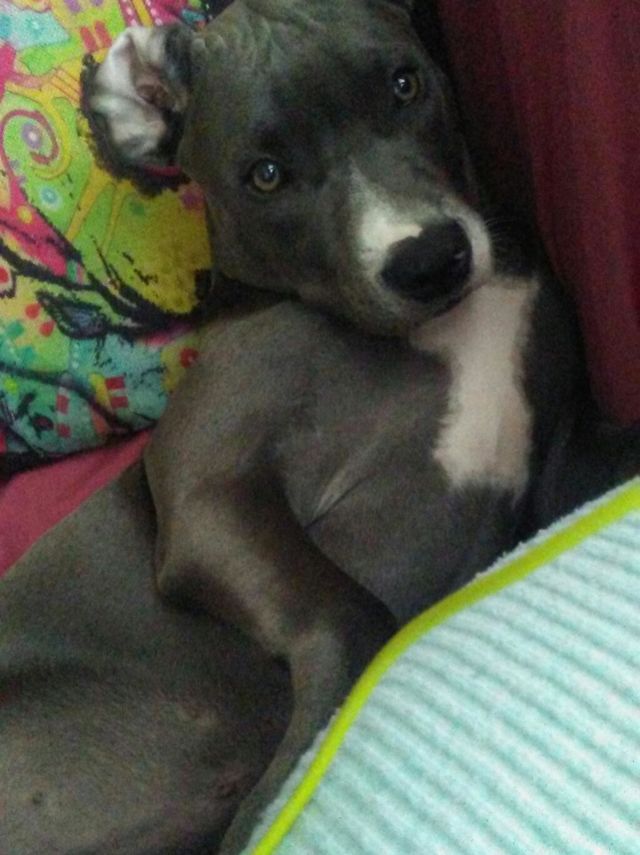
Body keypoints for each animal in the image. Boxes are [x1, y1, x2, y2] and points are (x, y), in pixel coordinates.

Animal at [2, 1, 637, 852]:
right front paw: (295, 779)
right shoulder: (207, 496)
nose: (428, 258)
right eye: (265, 175)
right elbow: (349, 614)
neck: (442, 329)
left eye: (405, 84)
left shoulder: (563, 451)